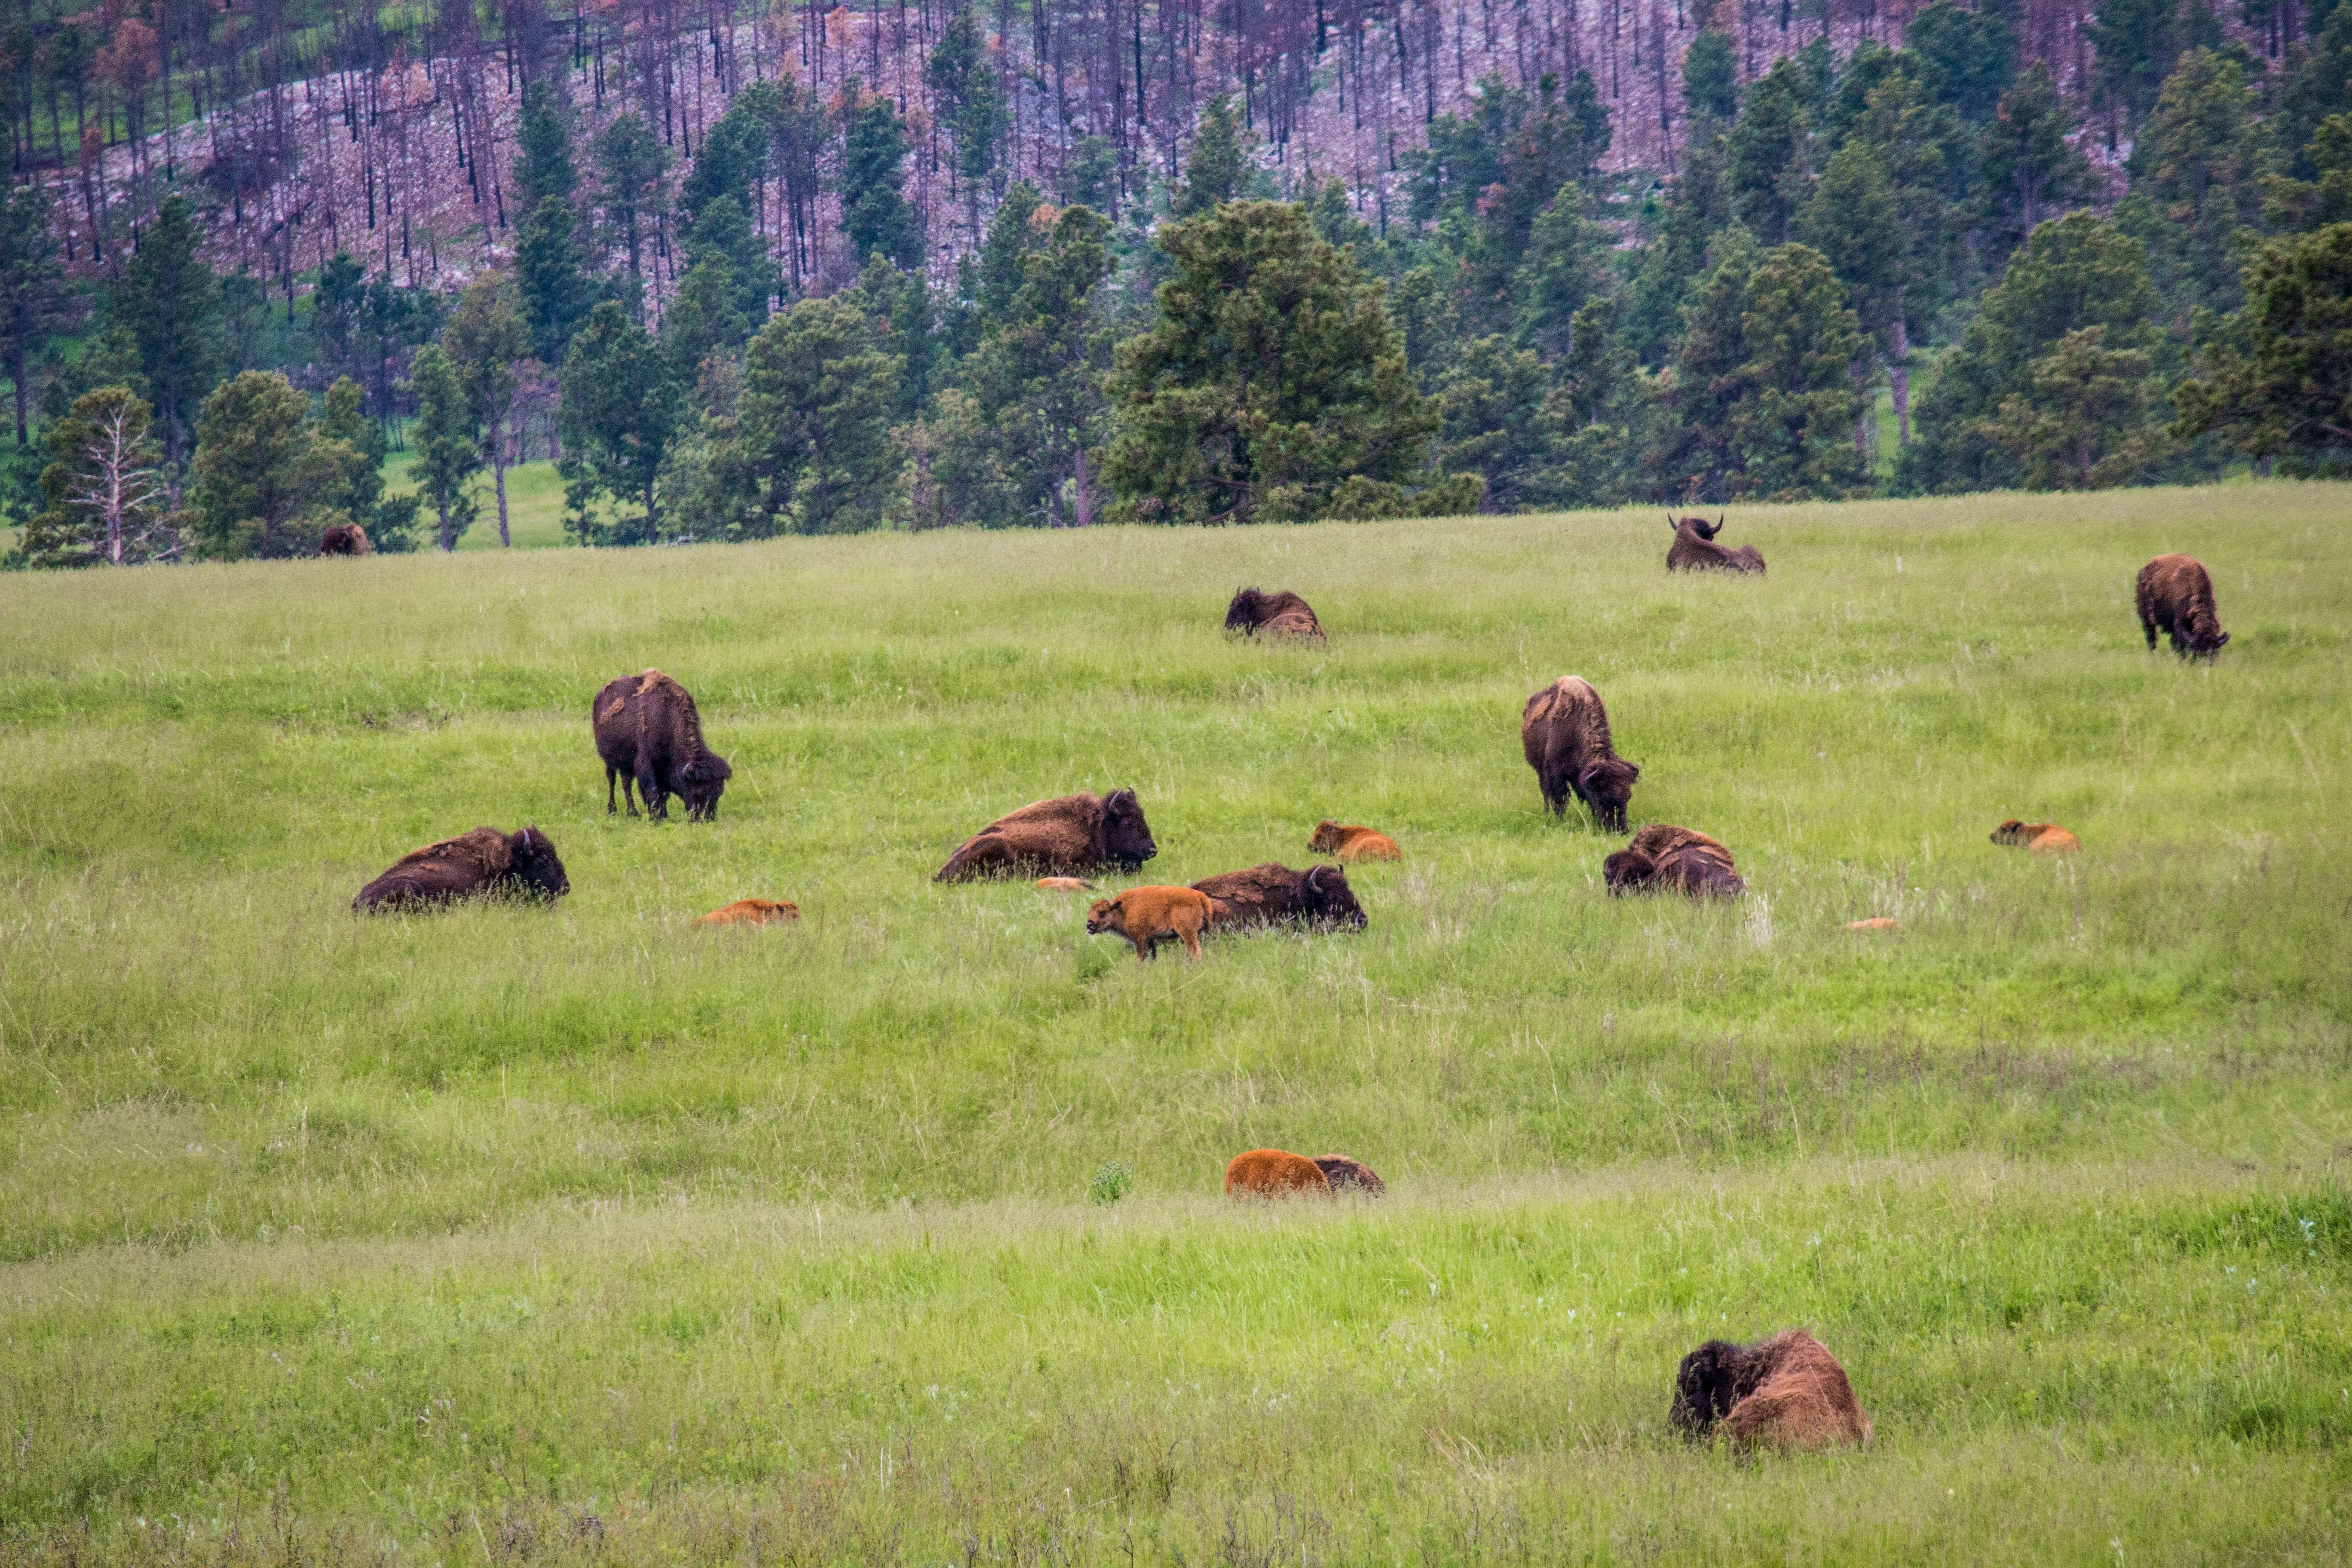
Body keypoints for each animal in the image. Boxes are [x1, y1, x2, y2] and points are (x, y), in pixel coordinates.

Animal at [593, 670, 733, 821]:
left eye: (719, 793)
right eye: (698, 792)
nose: (704, 820)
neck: (668, 721)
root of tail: (601, 694)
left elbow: (663, 795)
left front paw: (664, 815)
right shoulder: (645, 764)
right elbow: (653, 794)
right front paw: (657, 818)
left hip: (626, 765)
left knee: (626, 783)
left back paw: (633, 812)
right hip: (609, 761)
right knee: (612, 780)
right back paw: (612, 810)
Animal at [1522, 676, 1639, 831]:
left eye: (1628, 797)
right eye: (1602, 798)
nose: (1620, 830)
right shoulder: (1555, 772)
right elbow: (1560, 798)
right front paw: (1560, 821)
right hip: (1540, 770)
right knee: (1547, 794)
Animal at [2135, 553, 2228, 658]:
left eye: (2214, 650)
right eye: (2197, 650)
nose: (2205, 661)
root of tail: (2144, 571)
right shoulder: (2179, 623)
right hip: (2148, 619)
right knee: (2151, 637)